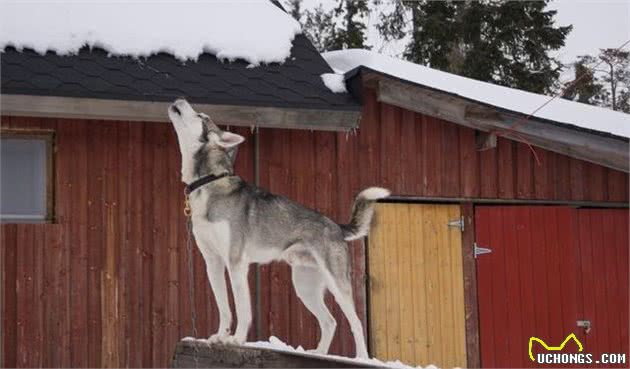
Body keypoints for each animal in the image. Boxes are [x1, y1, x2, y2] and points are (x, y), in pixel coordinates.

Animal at [170, 98, 392, 356]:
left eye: (200, 116)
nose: (179, 100)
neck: (207, 183)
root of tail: (336, 226)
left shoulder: (236, 262)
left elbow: (242, 308)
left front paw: (236, 340)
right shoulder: (213, 262)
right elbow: (224, 307)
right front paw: (219, 336)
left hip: (338, 285)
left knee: (355, 323)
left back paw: (361, 358)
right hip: (304, 286)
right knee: (330, 322)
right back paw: (318, 353)